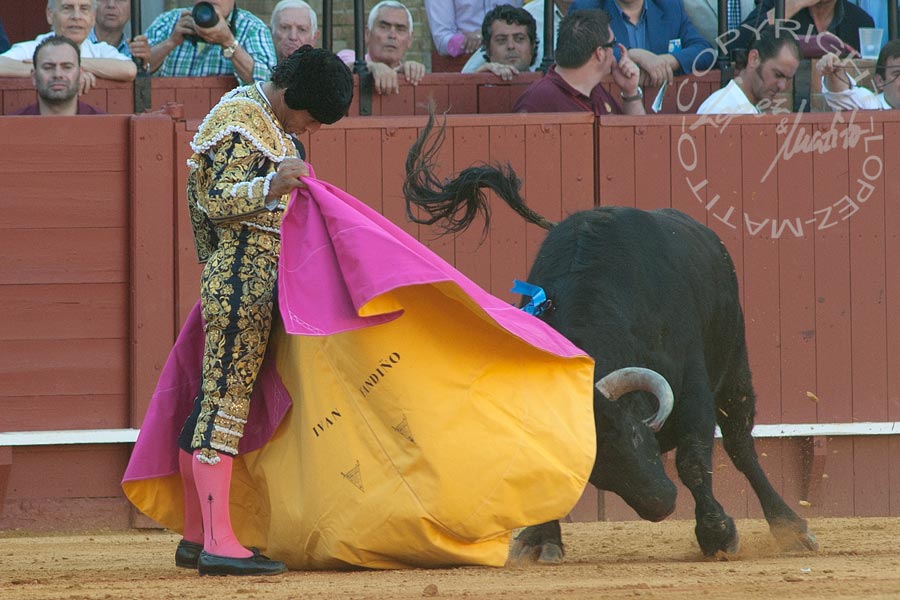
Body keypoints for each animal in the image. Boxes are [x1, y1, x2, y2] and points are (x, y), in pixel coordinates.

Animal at [404, 115, 820, 560]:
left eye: (633, 433)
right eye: (593, 470)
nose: (661, 505)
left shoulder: (693, 390)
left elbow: (693, 460)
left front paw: (718, 534)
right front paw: (540, 540)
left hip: (734, 363)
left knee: (740, 444)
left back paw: (792, 529)